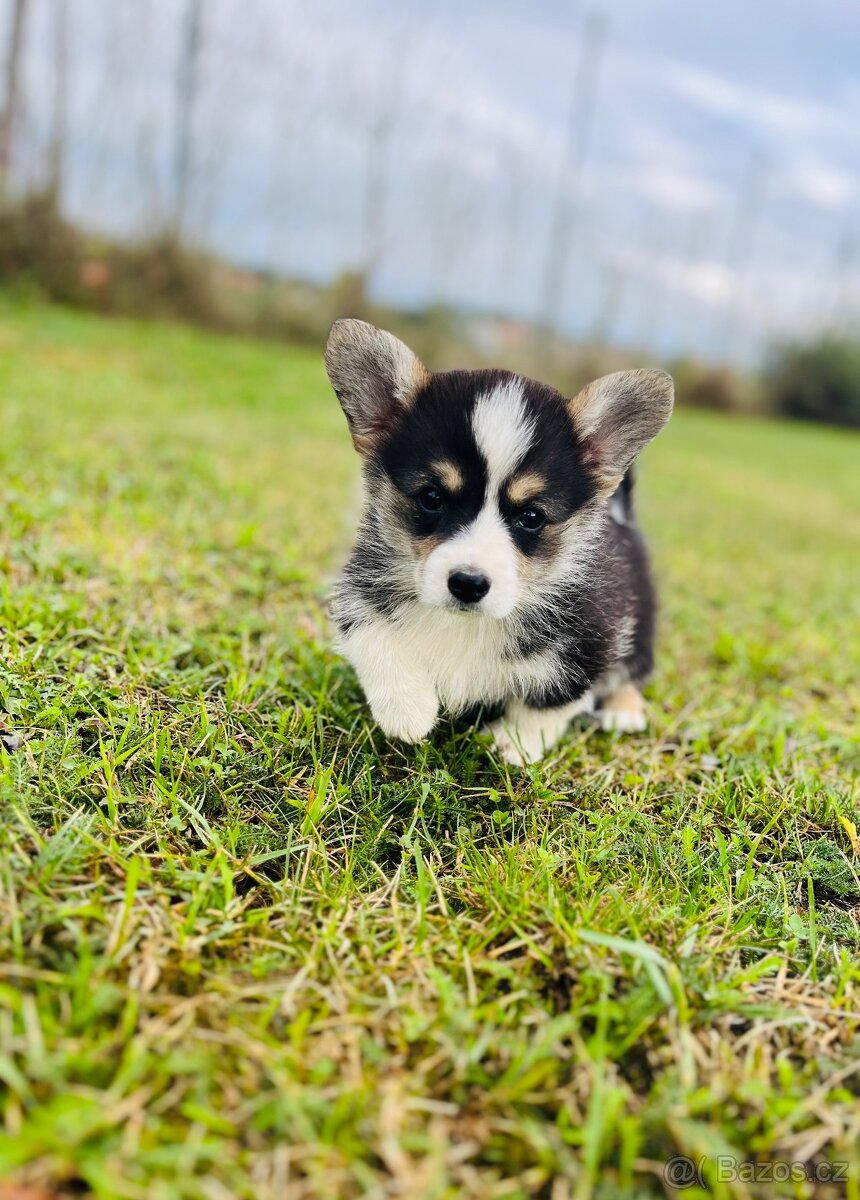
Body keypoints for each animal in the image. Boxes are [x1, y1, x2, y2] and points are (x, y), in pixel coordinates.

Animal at [326, 319, 676, 763]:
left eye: (532, 517)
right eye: (431, 497)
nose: (468, 584)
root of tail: (621, 516)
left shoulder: (590, 641)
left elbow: (549, 701)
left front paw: (514, 743)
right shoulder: (358, 590)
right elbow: (374, 636)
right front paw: (407, 710)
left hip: (640, 625)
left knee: (633, 671)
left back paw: (623, 711)